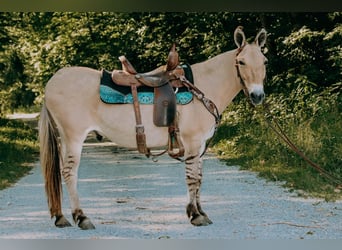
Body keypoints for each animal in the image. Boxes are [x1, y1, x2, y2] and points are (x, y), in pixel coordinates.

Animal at [39, 26, 268, 229]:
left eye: (265, 61)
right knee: (69, 173)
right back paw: (81, 217)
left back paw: (61, 217)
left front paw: (201, 212)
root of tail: (53, 81)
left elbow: (199, 179)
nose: (258, 95)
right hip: (73, 137)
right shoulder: (193, 142)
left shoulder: (201, 144)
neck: (202, 87)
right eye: (241, 61)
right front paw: (195, 215)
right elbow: (192, 178)